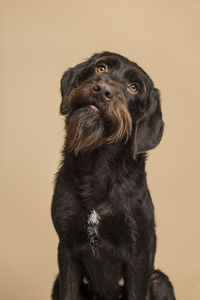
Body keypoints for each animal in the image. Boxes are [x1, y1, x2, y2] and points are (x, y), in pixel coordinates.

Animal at [50, 52, 176, 300]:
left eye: (134, 87)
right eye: (101, 67)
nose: (102, 90)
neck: (98, 164)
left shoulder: (137, 254)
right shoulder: (66, 248)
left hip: (159, 280)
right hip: (56, 282)